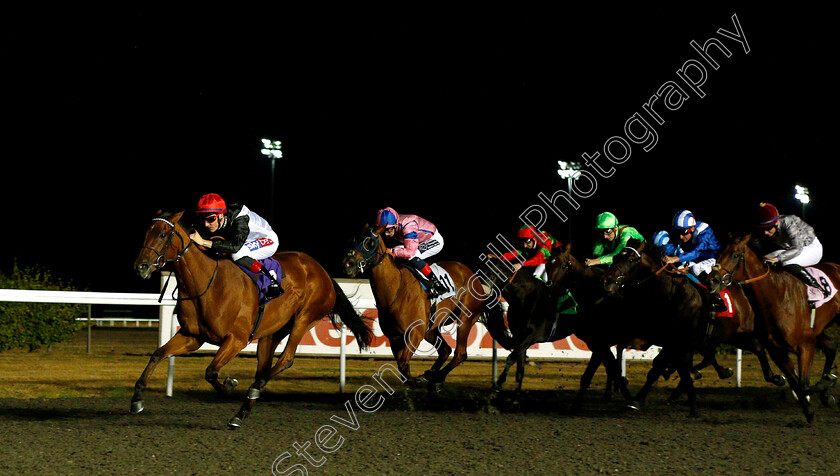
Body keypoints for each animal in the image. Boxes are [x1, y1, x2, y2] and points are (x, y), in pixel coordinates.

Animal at [134, 212, 370, 428]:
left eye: (162, 234)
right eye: (146, 233)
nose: (141, 266)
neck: (208, 282)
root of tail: (322, 272)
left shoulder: (236, 339)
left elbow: (211, 371)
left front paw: (229, 385)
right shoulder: (192, 336)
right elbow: (158, 354)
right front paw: (137, 400)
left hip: (305, 318)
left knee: (284, 360)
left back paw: (254, 390)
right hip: (272, 332)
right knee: (264, 366)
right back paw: (242, 411)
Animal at [342, 225, 502, 388]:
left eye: (369, 243)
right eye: (353, 240)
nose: (348, 264)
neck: (396, 289)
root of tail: (476, 279)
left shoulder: (414, 333)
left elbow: (403, 365)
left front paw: (417, 380)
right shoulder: (394, 337)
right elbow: (402, 367)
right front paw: (416, 379)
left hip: (465, 319)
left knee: (460, 353)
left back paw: (436, 377)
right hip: (430, 328)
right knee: (445, 350)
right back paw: (431, 375)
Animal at [716, 236, 840, 422]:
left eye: (735, 255)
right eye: (719, 252)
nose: (712, 279)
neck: (776, 297)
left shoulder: (806, 345)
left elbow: (803, 384)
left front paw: (828, 381)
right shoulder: (777, 351)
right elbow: (797, 384)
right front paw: (811, 409)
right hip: (818, 332)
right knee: (831, 347)